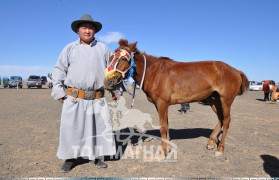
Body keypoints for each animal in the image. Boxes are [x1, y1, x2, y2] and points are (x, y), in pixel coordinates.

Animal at [104, 39, 249, 156]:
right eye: (111, 57)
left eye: (123, 59)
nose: (108, 82)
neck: (154, 73)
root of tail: (236, 71)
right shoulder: (161, 105)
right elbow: (166, 125)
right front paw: (167, 147)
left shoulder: (162, 103)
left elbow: (163, 126)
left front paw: (163, 152)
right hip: (214, 100)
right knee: (220, 118)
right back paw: (211, 142)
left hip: (225, 100)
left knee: (227, 121)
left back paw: (220, 149)